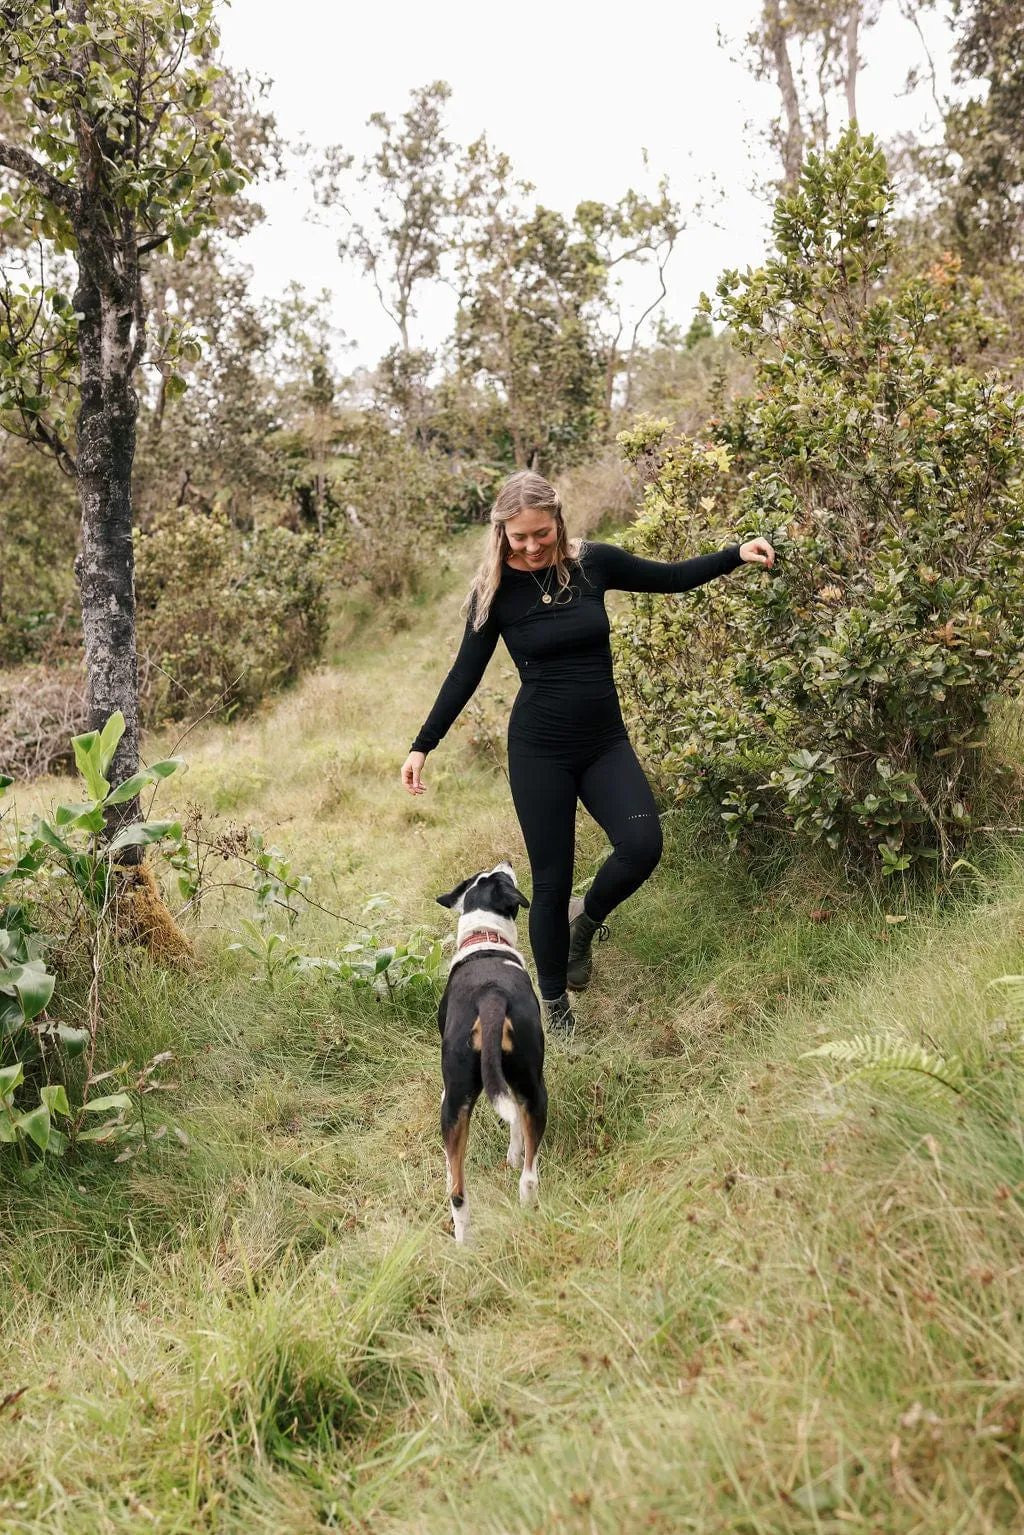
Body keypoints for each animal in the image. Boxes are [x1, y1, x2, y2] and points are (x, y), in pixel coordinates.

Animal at [436, 865, 549, 1246]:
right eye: (502, 876)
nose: (506, 862)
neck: (484, 938)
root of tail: (491, 995)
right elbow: (516, 1130)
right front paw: (513, 1154)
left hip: (455, 1105)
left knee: (457, 1192)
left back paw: (463, 1245)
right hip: (534, 1089)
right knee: (528, 1174)